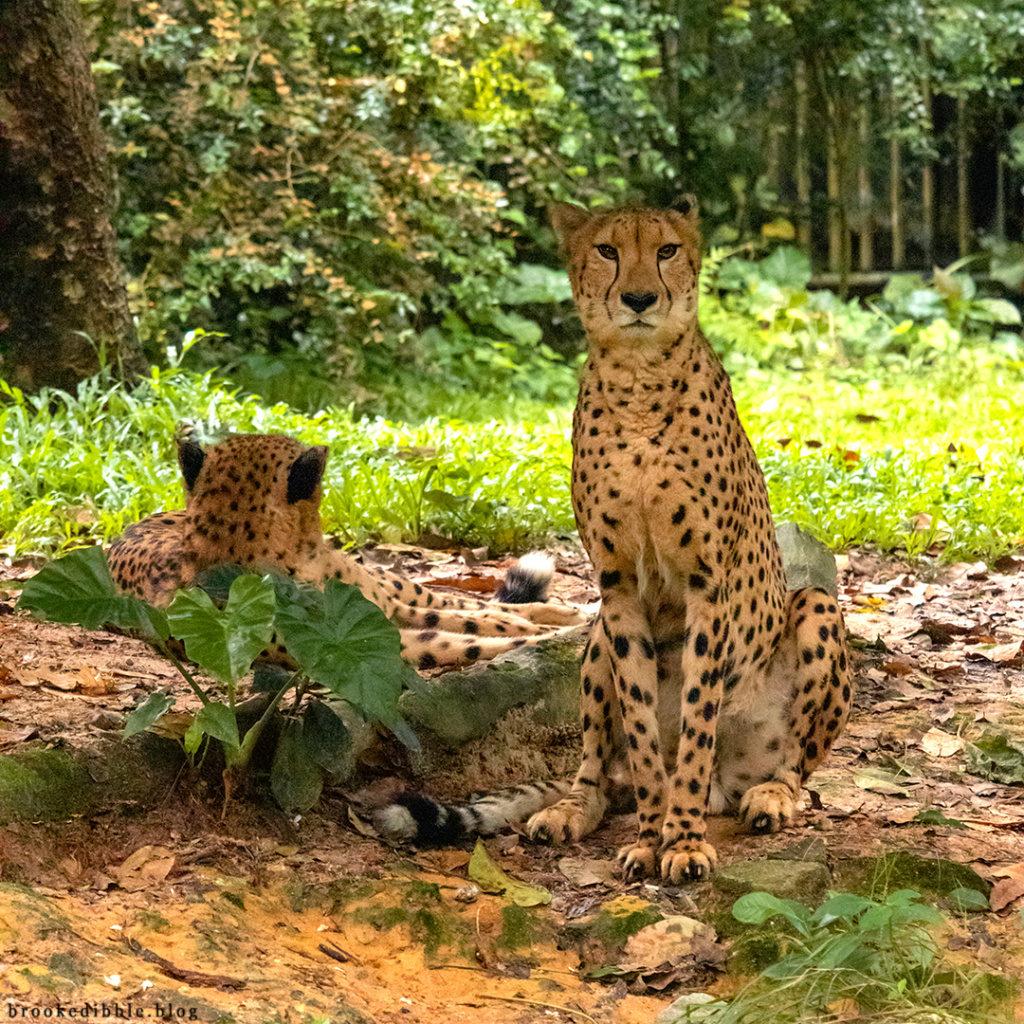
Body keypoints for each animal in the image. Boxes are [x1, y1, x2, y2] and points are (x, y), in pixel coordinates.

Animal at [109, 434, 589, 667]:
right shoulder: (371, 642)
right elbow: (464, 640)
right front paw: (549, 639)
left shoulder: (387, 609)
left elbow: (475, 618)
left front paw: (557, 629)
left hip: (396, 586)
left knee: (468, 601)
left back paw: (571, 612)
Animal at [380, 199, 851, 880]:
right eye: (606, 249)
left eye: (666, 250)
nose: (638, 297)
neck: (638, 379)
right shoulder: (619, 588)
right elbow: (641, 723)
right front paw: (655, 835)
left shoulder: (706, 586)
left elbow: (697, 719)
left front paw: (683, 841)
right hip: (597, 633)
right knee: (600, 772)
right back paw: (571, 810)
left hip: (814, 608)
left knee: (791, 762)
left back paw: (769, 797)